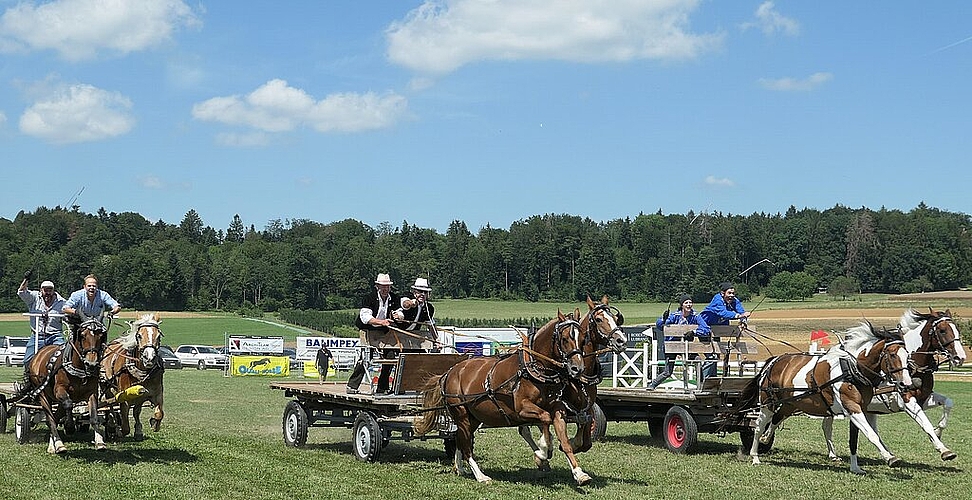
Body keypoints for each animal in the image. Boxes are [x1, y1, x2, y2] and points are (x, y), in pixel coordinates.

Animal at [21, 312, 110, 454]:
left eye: (101, 336)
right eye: (82, 335)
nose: (91, 363)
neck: (79, 368)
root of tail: (38, 355)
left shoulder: (91, 393)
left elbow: (94, 416)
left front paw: (100, 442)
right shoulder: (60, 390)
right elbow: (68, 404)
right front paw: (69, 427)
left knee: (56, 417)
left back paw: (53, 445)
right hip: (43, 396)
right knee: (51, 419)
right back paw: (59, 444)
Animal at [412, 308, 584, 484]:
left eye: (583, 339)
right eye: (564, 339)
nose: (577, 368)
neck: (532, 369)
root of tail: (449, 373)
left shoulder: (557, 407)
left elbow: (563, 439)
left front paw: (579, 473)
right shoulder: (521, 409)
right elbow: (545, 418)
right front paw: (542, 451)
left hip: (474, 416)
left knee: (460, 439)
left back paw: (459, 468)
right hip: (461, 414)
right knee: (466, 445)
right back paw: (480, 475)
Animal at [520, 294, 628, 482]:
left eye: (615, 319)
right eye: (598, 319)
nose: (621, 340)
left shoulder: (586, 407)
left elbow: (586, 440)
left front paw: (573, 444)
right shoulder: (561, 406)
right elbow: (561, 435)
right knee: (527, 428)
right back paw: (541, 455)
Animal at [740, 322, 916, 474]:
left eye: (907, 355)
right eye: (892, 355)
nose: (906, 384)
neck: (851, 370)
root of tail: (774, 361)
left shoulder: (860, 409)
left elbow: (856, 440)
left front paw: (855, 468)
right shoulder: (852, 407)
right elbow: (871, 434)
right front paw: (890, 457)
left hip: (790, 404)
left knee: (776, 419)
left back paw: (765, 438)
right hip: (767, 403)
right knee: (758, 426)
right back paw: (755, 456)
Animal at [820, 308, 964, 464]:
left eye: (957, 329)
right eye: (942, 330)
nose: (960, 357)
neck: (912, 364)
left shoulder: (924, 398)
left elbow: (948, 402)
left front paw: (938, 431)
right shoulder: (907, 401)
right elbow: (926, 424)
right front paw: (944, 450)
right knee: (827, 425)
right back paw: (833, 454)